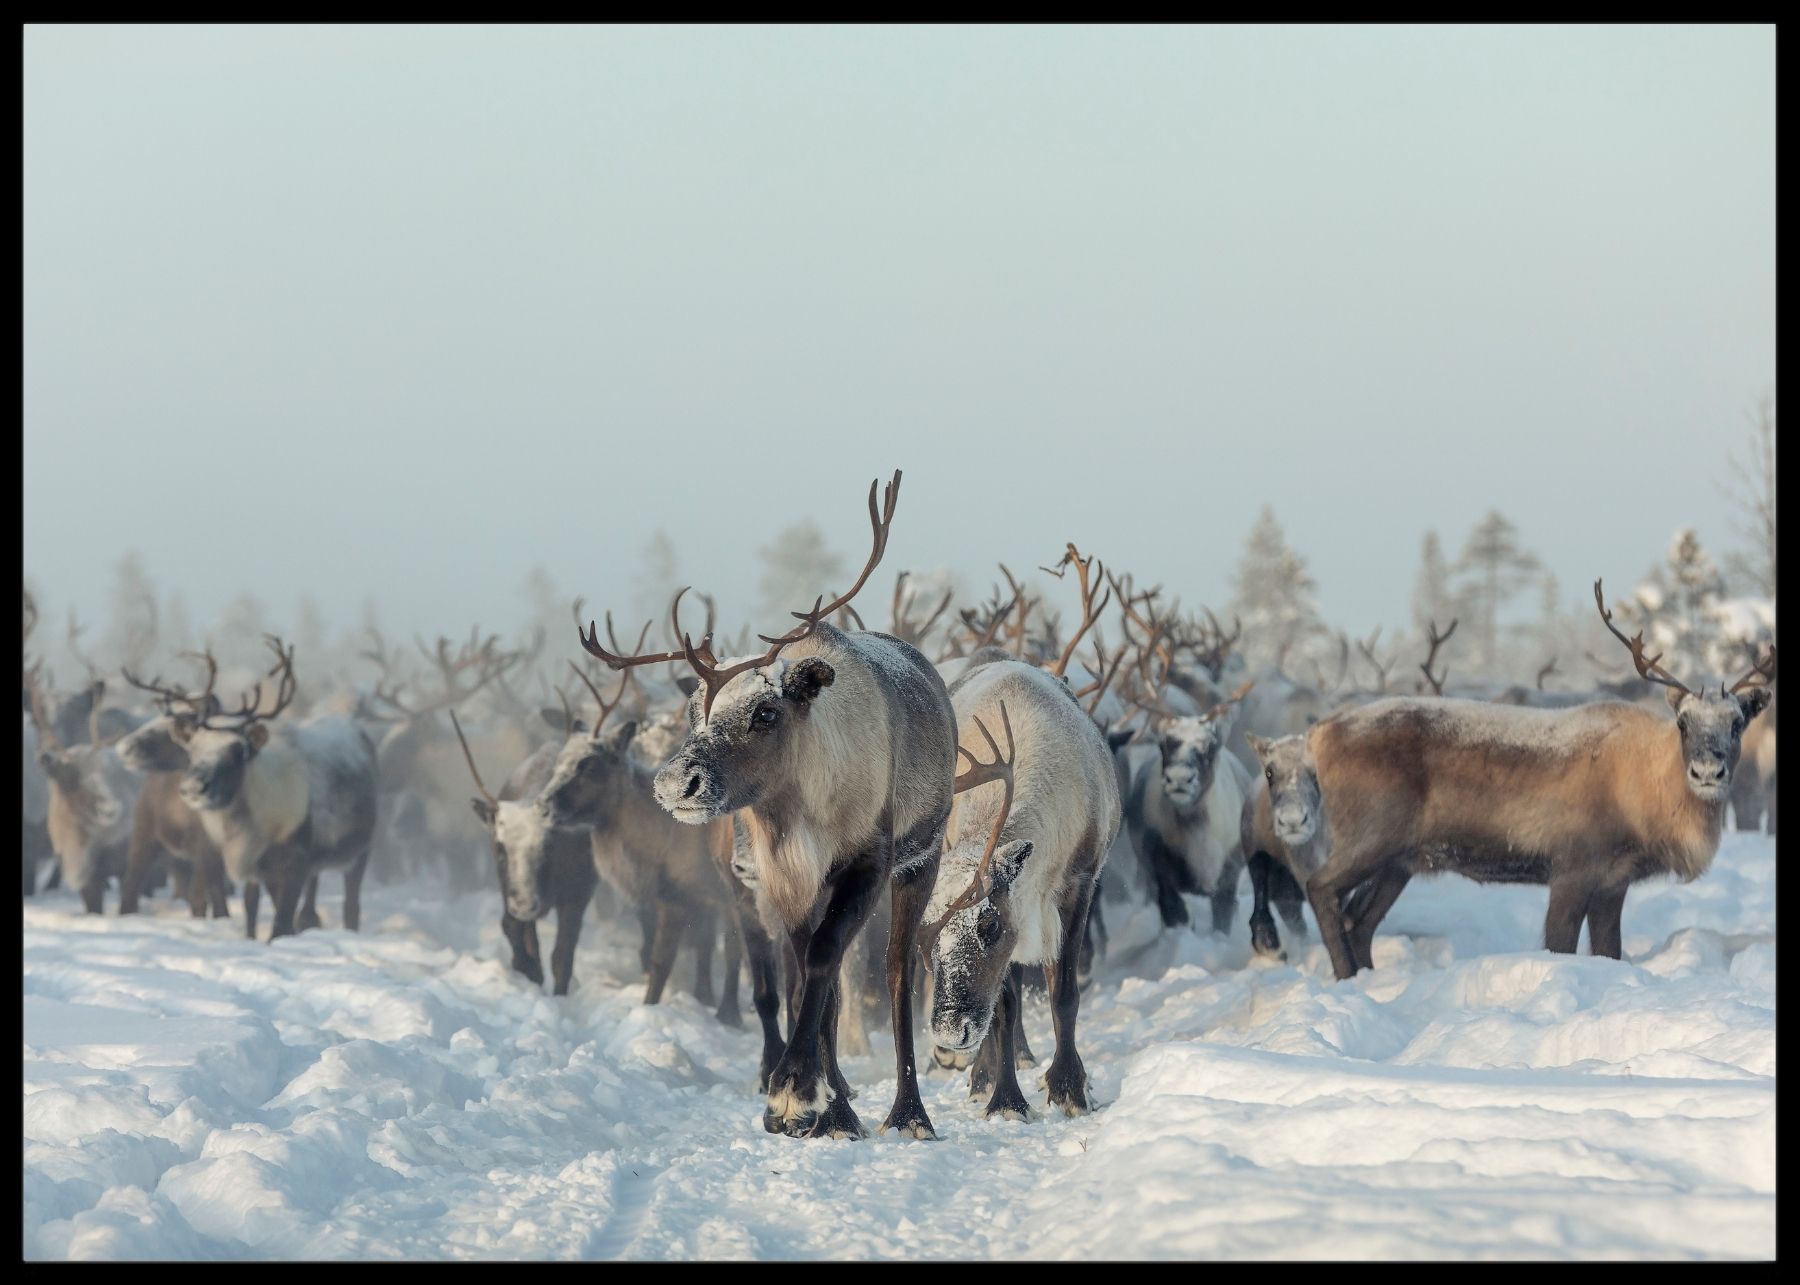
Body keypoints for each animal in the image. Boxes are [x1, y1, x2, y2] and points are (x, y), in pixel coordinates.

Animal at [580, 470, 960, 1141]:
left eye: (765, 711)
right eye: (692, 711)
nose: (674, 783)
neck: (798, 818)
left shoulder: (867, 863)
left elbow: (828, 961)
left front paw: (793, 1093)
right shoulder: (775, 879)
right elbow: (797, 977)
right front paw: (820, 1102)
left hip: (923, 854)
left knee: (893, 968)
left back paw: (908, 1111)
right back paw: (842, 1094)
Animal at [921, 650, 1122, 1120]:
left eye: (988, 924)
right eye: (925, 934)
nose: (949, 1032)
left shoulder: (1076, 885)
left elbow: (1064, 993)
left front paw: (1069, 1088)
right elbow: (1004, 1009)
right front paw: (1005, 1099)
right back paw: (982, 1078)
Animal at [1297, 580, 1776, 980]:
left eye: (1737, 723)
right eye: (1682, 722)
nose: (1707, 772)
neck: (1645, 796)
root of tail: (1319, 734)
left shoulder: (1613, 880)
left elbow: (1610, 951)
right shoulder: (1571, 866)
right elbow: (1560, 945)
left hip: (1400, 860)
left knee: (1359, 922)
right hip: (1369, 835)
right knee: (1320, 888)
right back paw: (1346, 978)